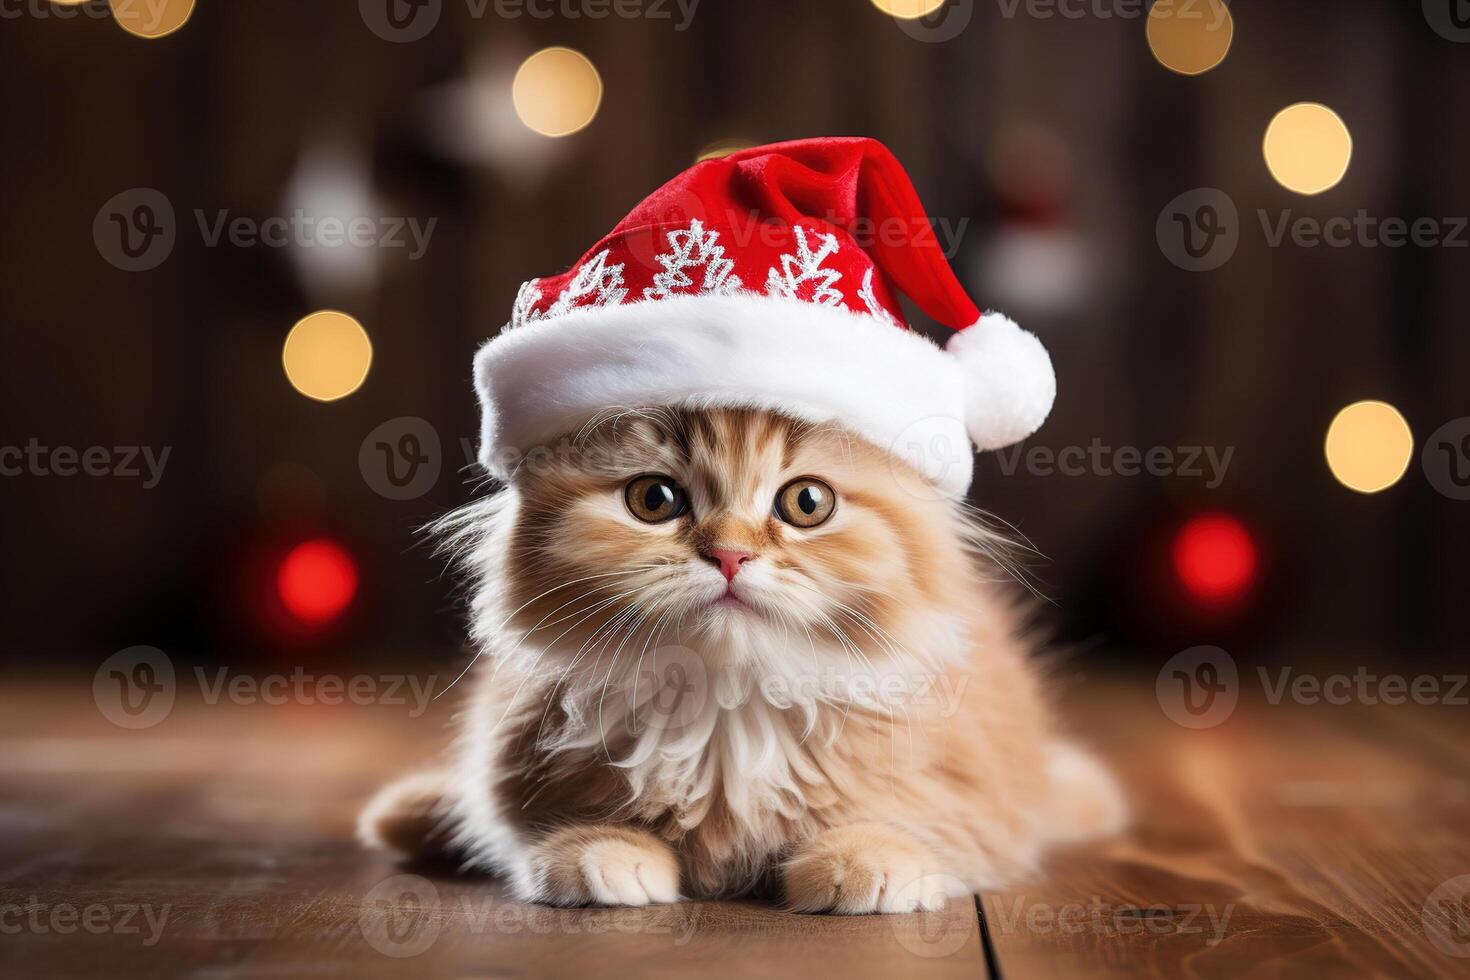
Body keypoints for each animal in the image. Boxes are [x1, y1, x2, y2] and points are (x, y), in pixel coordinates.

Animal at [358, 405, 1123, 910]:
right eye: (654, 499)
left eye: (807, 503)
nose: (729, 555)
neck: (728, 708)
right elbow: (534, 823)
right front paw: (597, 850)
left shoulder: (974, 789)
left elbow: (912, 821)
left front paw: (865, 859)